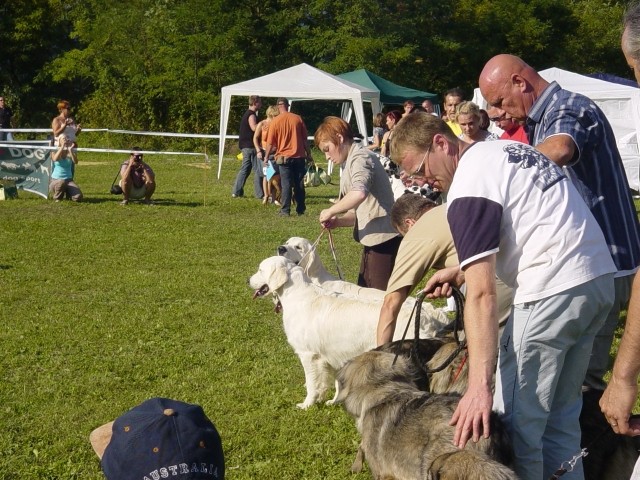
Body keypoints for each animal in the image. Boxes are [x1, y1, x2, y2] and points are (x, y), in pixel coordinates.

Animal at [249, 255, 450, 408]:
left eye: (260, 270)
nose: (247, 280)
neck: (297, 294)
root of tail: (429, 315)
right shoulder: (333, 354)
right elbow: (335, 382)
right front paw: (332, 401)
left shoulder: (308, 355)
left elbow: (312, 384)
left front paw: (307, 404)